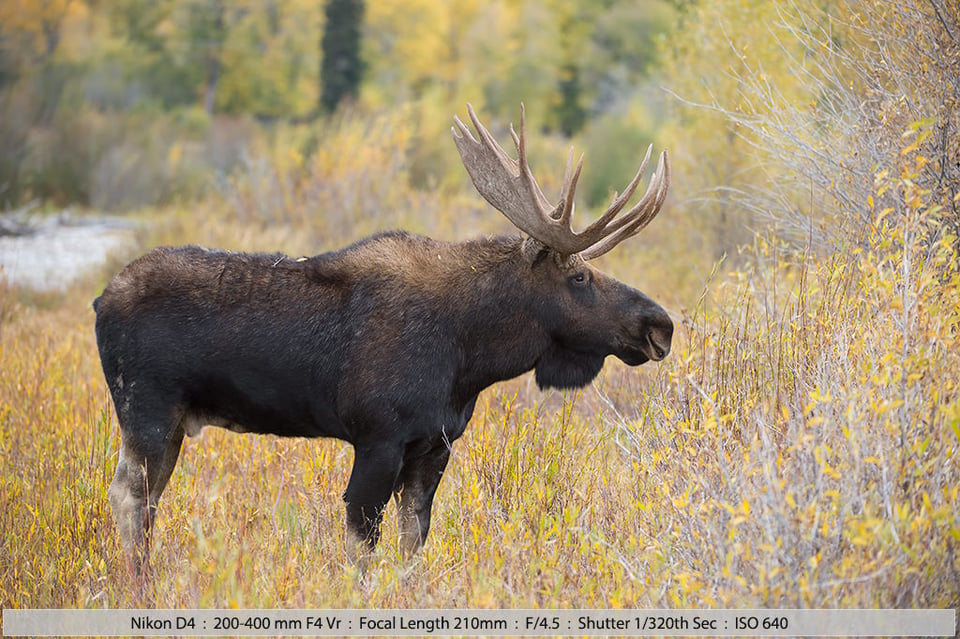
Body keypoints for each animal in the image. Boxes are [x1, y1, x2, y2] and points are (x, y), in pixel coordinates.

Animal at [94, 105, 672, 568]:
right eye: (579, 277)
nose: (660, 325)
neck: (470, 356)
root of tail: (99, 301)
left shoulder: (433, 445)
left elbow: (413, 541)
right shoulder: (378, 438)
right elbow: (361, 548)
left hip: (170, 425)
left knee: (145, 501)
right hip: (146, 411)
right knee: (129, 498)